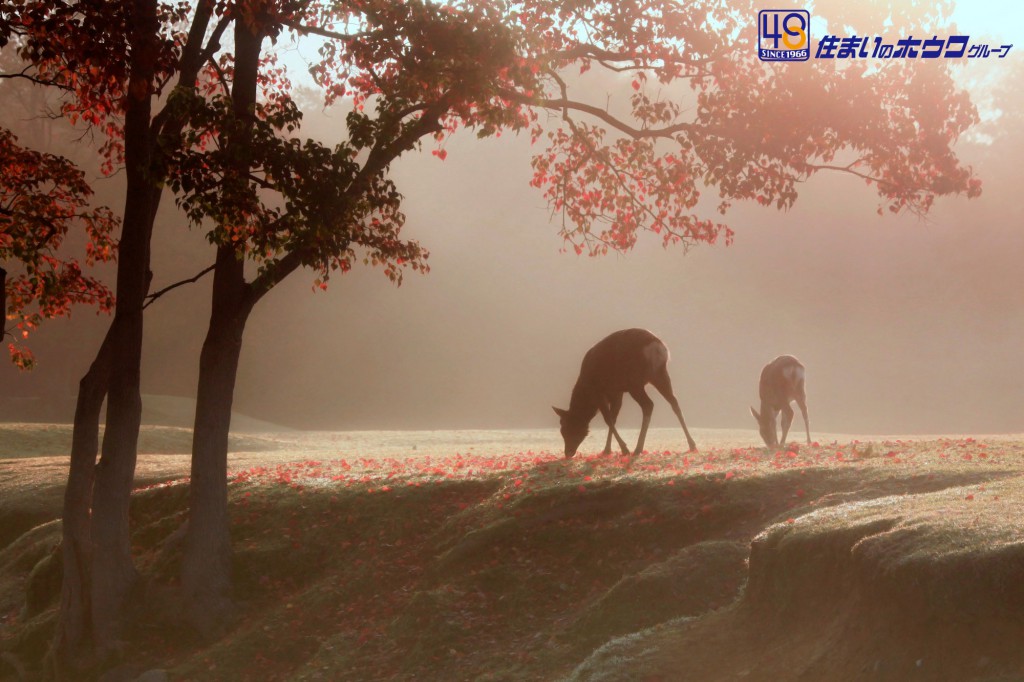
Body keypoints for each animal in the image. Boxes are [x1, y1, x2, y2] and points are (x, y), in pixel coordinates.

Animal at [552, 325, 704, 454]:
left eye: (565, 428)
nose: (568, 453)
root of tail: (656, 346)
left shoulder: (599, 392)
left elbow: (608, 419)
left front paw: (623, 449)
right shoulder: (616, 392)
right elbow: (614, 418)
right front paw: (607, 449)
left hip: (635, 382)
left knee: (649, 404)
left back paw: (637, 448)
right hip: (659, 375)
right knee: (674, 402)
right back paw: (692, 444)